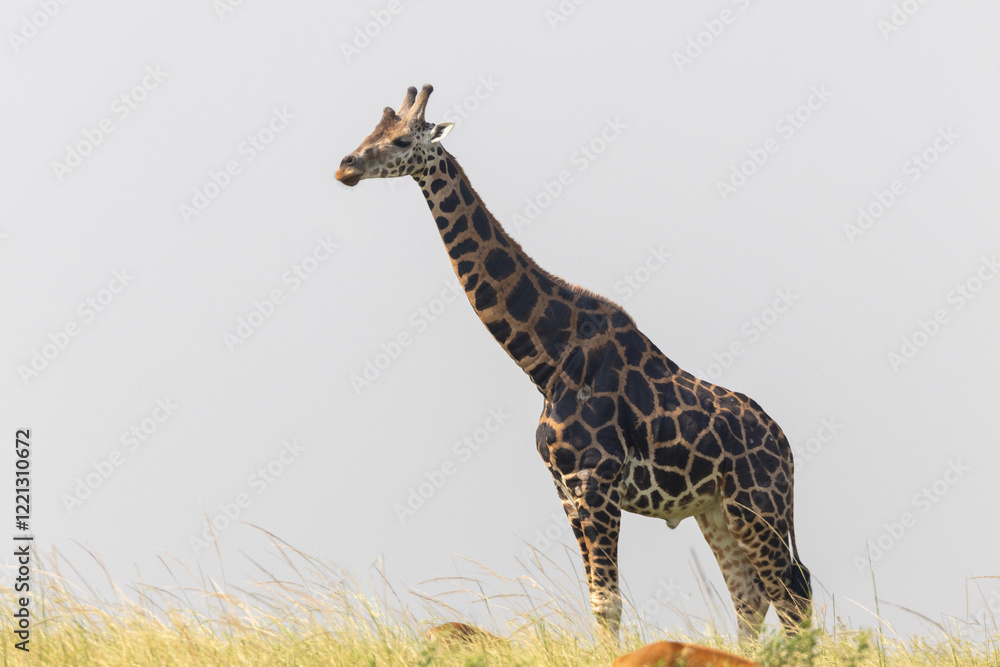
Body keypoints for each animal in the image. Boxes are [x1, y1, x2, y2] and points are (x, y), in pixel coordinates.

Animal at [335, 85, 811, 639]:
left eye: (403, 139)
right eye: (371, 132)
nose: (345, 166)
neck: (545, 361)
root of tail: (786, 448)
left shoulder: (595, 478)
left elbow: (608, 603)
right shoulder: (566, 487)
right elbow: (599, 600)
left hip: (757, 506)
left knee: (792, 595)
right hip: (715, 511)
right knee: (753, 599)